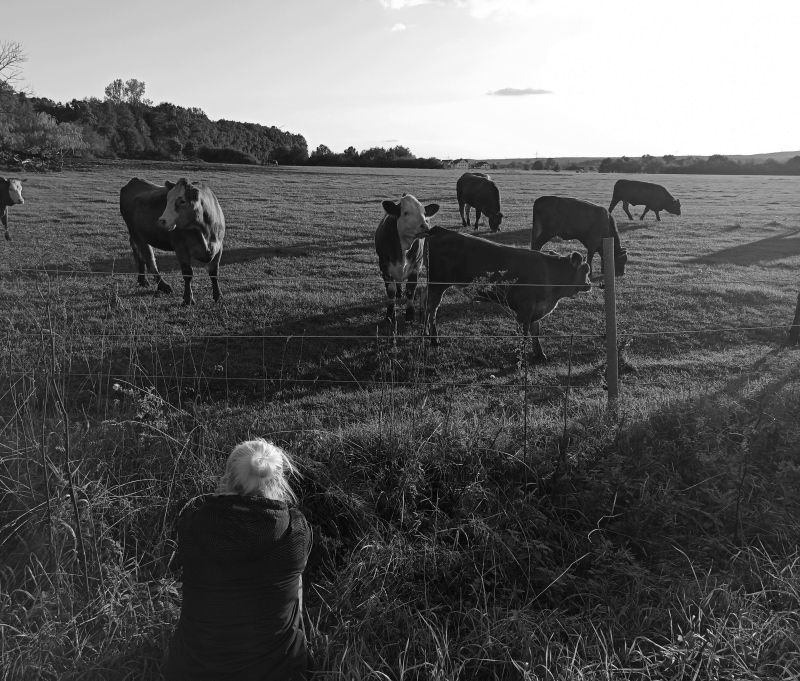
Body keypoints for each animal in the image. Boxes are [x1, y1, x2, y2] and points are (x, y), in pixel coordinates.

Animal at [376, 194, 440, 324]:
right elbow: (391, 291)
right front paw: (389, 315)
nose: (425, 227)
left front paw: (410, 315)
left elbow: (410, 290)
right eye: (405, 213)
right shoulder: (384, 266)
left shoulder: (416, 266)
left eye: (424, 213)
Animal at [422, 224, 592, 362]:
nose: (589, 285)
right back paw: (434, 338)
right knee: (432, 309)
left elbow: (535, 332)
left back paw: (426, 334)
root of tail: (441, 230)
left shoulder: (537, 309)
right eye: (586, 269)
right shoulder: (525, 310)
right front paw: (521, 357)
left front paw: (540, 354)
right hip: (437, 284)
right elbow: (524, 334)